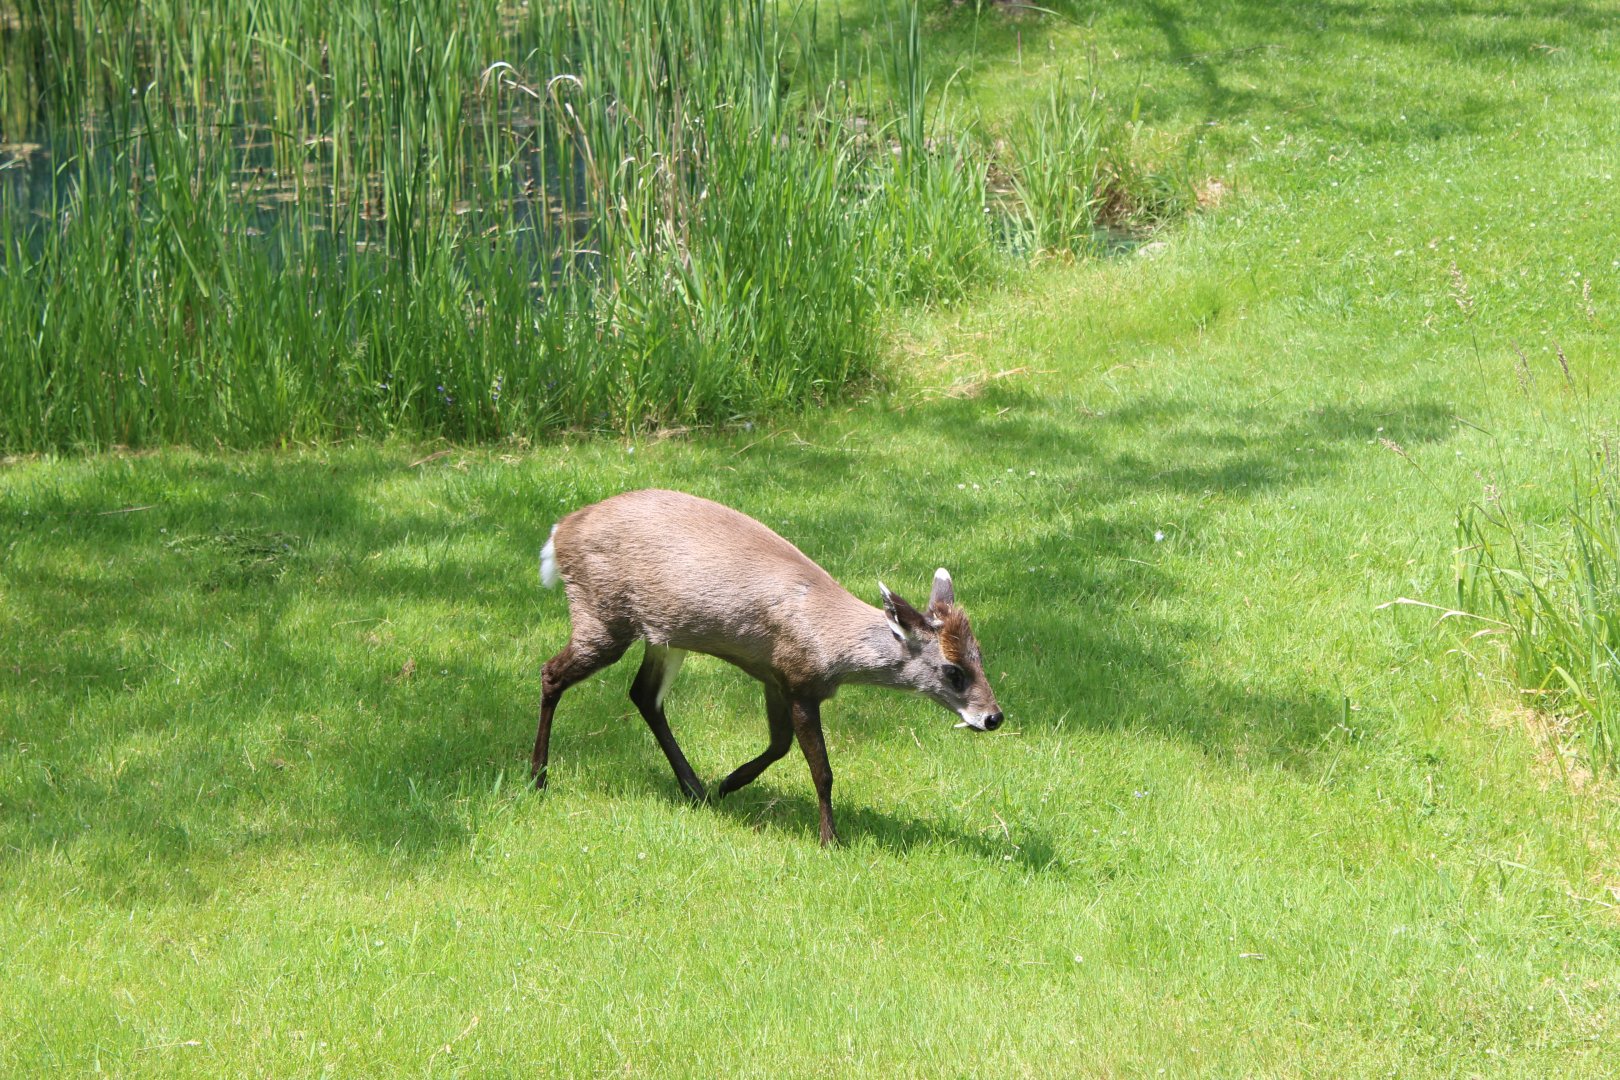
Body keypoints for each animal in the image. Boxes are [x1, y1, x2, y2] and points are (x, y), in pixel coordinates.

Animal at [531, 489, 1003, 845]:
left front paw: (729, 782)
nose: (993, 717)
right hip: (603, 615)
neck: (830, 640)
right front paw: (830, 839)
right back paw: (538, 778)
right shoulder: (798, 680)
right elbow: (822, 770)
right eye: (953, 670)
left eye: (980, 656)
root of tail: (558, 534)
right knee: (551, 673)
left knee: (643, 696)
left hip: (664, 635)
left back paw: (696, 789)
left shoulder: (774, 678)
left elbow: (779, 745)